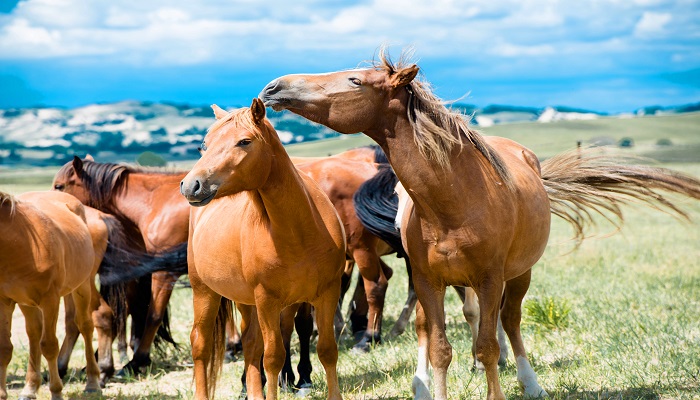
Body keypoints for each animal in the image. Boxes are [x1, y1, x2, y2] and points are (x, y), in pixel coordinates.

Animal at [0, 190, 101, 400]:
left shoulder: (50, 300)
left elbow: (49, 346)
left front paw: (56, 391)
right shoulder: (4, 301)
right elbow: (5, 349)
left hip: (82, 286)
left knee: (85, 326)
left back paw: (93, 383)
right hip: (26, 303)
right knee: (34, 334)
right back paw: (30, 388)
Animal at [180, 99, 346, 400]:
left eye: (244, 141)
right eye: (204, 145)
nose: (191, 185)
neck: (299, 232)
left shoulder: (328, 293)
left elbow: (327, 350)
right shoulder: (267, 301)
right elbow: (273, 358)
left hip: (246, 301)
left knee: (250, 344)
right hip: (204, 291)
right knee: (201, 345)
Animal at [259, 48, 700, 400]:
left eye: (355, 80)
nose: (274, 87)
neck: (454, 199)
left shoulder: (490, 279)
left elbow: (488, 346)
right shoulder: (429, 281)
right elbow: (440, 347)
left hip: (520, 274)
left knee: (511, 322)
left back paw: (530, 382)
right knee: (430, 326)